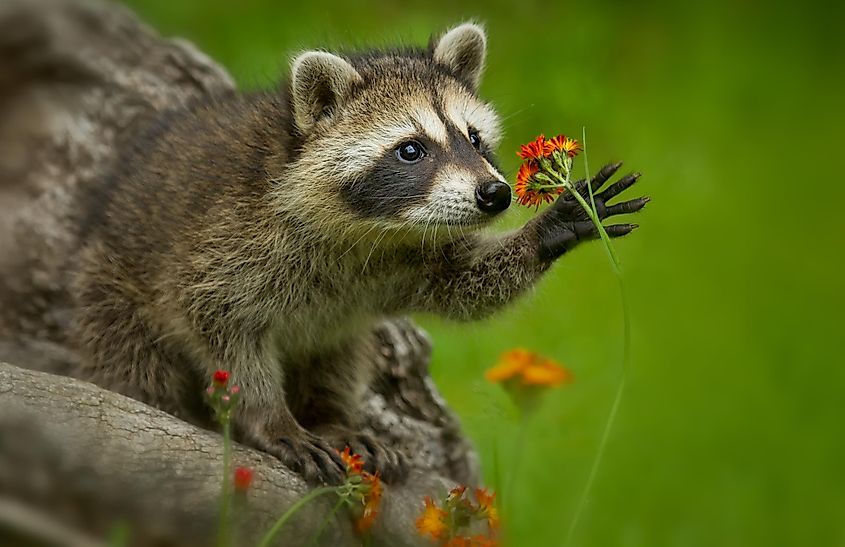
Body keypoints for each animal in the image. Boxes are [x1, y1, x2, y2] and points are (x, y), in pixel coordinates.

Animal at [46, 23, 646, 482]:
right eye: (411, 150)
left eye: (473, 138)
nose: (495, 195)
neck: (368, 230)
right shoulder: (225, 244)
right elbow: (222, 329)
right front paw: (270, 418)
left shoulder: (406, 258)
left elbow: (464, 284)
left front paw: (551, 227)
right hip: (109, 295)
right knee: (136, 366)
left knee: (338, 352)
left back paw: (331, 415)